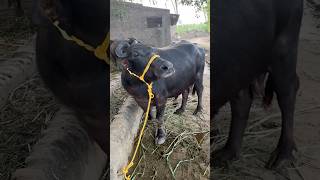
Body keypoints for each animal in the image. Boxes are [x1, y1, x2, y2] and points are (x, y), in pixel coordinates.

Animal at [212, 0, 302, 169]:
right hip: (239, 64)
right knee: (242, 101)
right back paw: (226, 154)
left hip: (285, 47)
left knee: (288, 92)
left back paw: (282, 157)